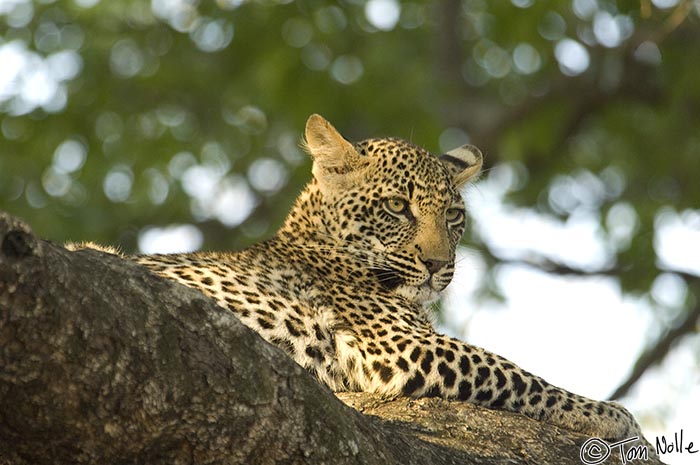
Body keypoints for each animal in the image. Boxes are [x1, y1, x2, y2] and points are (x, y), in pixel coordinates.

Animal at [68, 114, 644, 440]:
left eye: (453, 216)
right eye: (397, 207)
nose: (438, 265)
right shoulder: (401, 347)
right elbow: (517, 373)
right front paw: (612, 415)